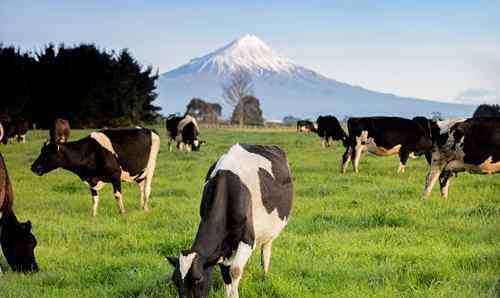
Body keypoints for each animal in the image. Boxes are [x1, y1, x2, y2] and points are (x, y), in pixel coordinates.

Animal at [30, 127, 160, 215]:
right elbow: (94, 199)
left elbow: (117, 195)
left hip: (151, 166)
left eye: (47, 153)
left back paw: (145, 208)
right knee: (141, 188)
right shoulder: (92, 180)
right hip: (139, 173)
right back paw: (142, 208)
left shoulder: (115, 175)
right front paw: (93, 215)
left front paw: (123, 213)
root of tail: (149, 129)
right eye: (41, 151)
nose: (33, 167)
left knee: (147, 189)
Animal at [168, 144, 292, 298]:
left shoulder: (248, 239)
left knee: (266, 252)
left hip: (270, 231)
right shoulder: (222, 246)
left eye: (198, 279)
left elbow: (235, 270)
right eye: (176, 282)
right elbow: (225, 272)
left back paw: (265, 275)